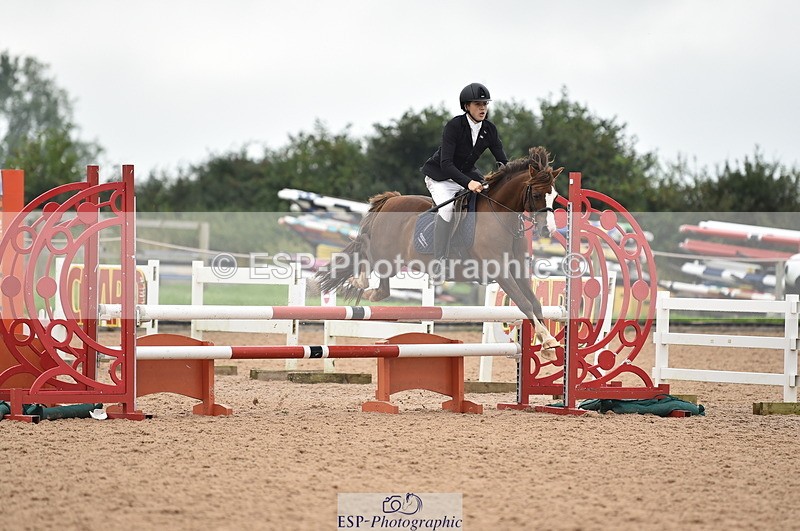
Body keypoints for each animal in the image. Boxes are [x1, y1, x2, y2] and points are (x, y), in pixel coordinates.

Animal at [315, 146, 564, 353]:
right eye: (536, 194)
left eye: (554, 196)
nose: (547, 230)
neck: (501, 218)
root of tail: (391, 200)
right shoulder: (500, 271)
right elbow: (523, 303)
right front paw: (548, 340)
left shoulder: (517, 270)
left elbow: (535, 303)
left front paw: (548, 344)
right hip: (383, 252)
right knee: (365, 248)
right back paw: (360, 282)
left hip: (393, 261)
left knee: (382, 287)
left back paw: (369, 292)